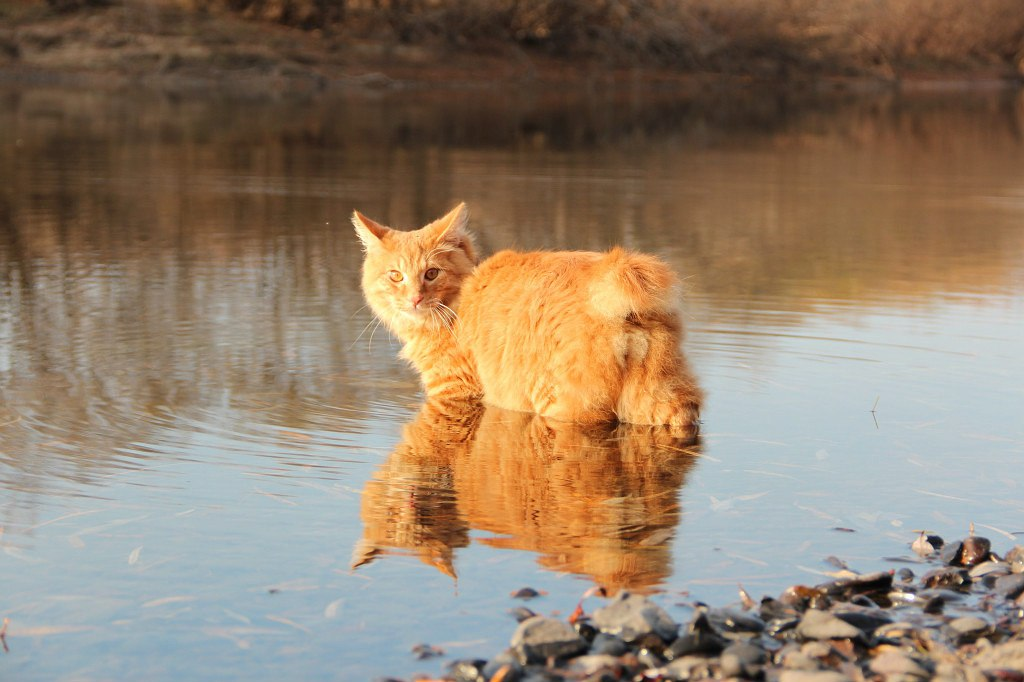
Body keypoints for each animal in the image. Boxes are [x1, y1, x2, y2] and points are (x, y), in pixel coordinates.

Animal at [354, 199, 704, 430]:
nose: (414, 299)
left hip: (563, 407)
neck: (459, 301)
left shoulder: (454, 388)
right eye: (396, 276)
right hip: (664, 400)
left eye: (431, 274)